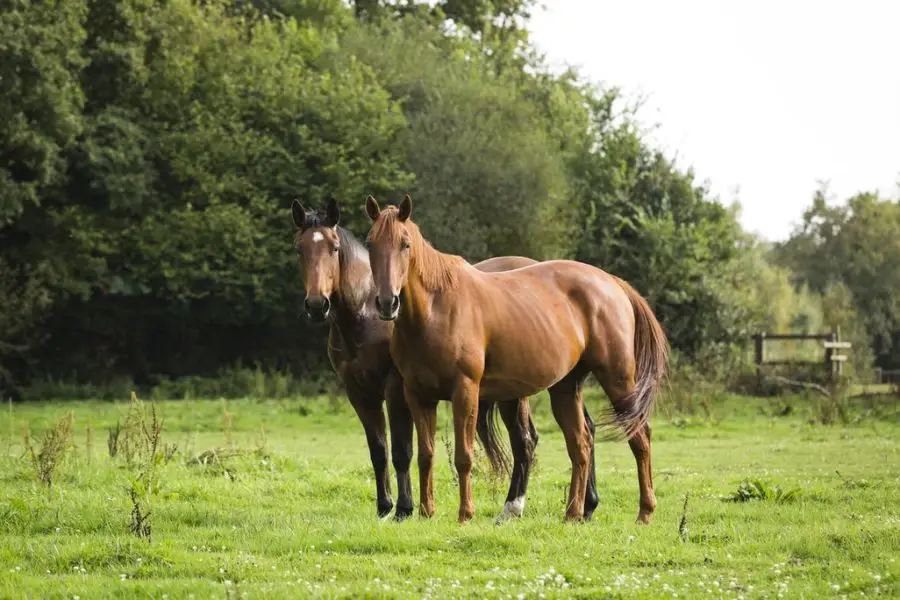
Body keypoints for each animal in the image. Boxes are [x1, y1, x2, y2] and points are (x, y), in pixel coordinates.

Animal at [292, 197, 600, 520]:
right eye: (299, 249)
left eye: (334, 247)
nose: (317, 305)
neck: (364, 315)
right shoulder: (359, 393)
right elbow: (379, 451)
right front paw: (384, 507)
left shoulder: (396, 389)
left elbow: (402, 451)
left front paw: (404, 509)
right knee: (568, 433)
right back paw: (581, 504)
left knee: (536, 438)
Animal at [364, 195, 668, 524]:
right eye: (370, 244)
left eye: (405, 244)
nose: (387, 302)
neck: (435, 309)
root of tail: (611, 282)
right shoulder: (417, 395)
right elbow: (426, 454)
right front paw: (426, 511)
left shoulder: (465, 391)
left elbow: (464, 456)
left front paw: (465, 514)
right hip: (565, 388)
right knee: (581, 444)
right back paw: (573, 513)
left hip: (618, 379)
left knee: (640, 437)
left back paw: (645, 512)